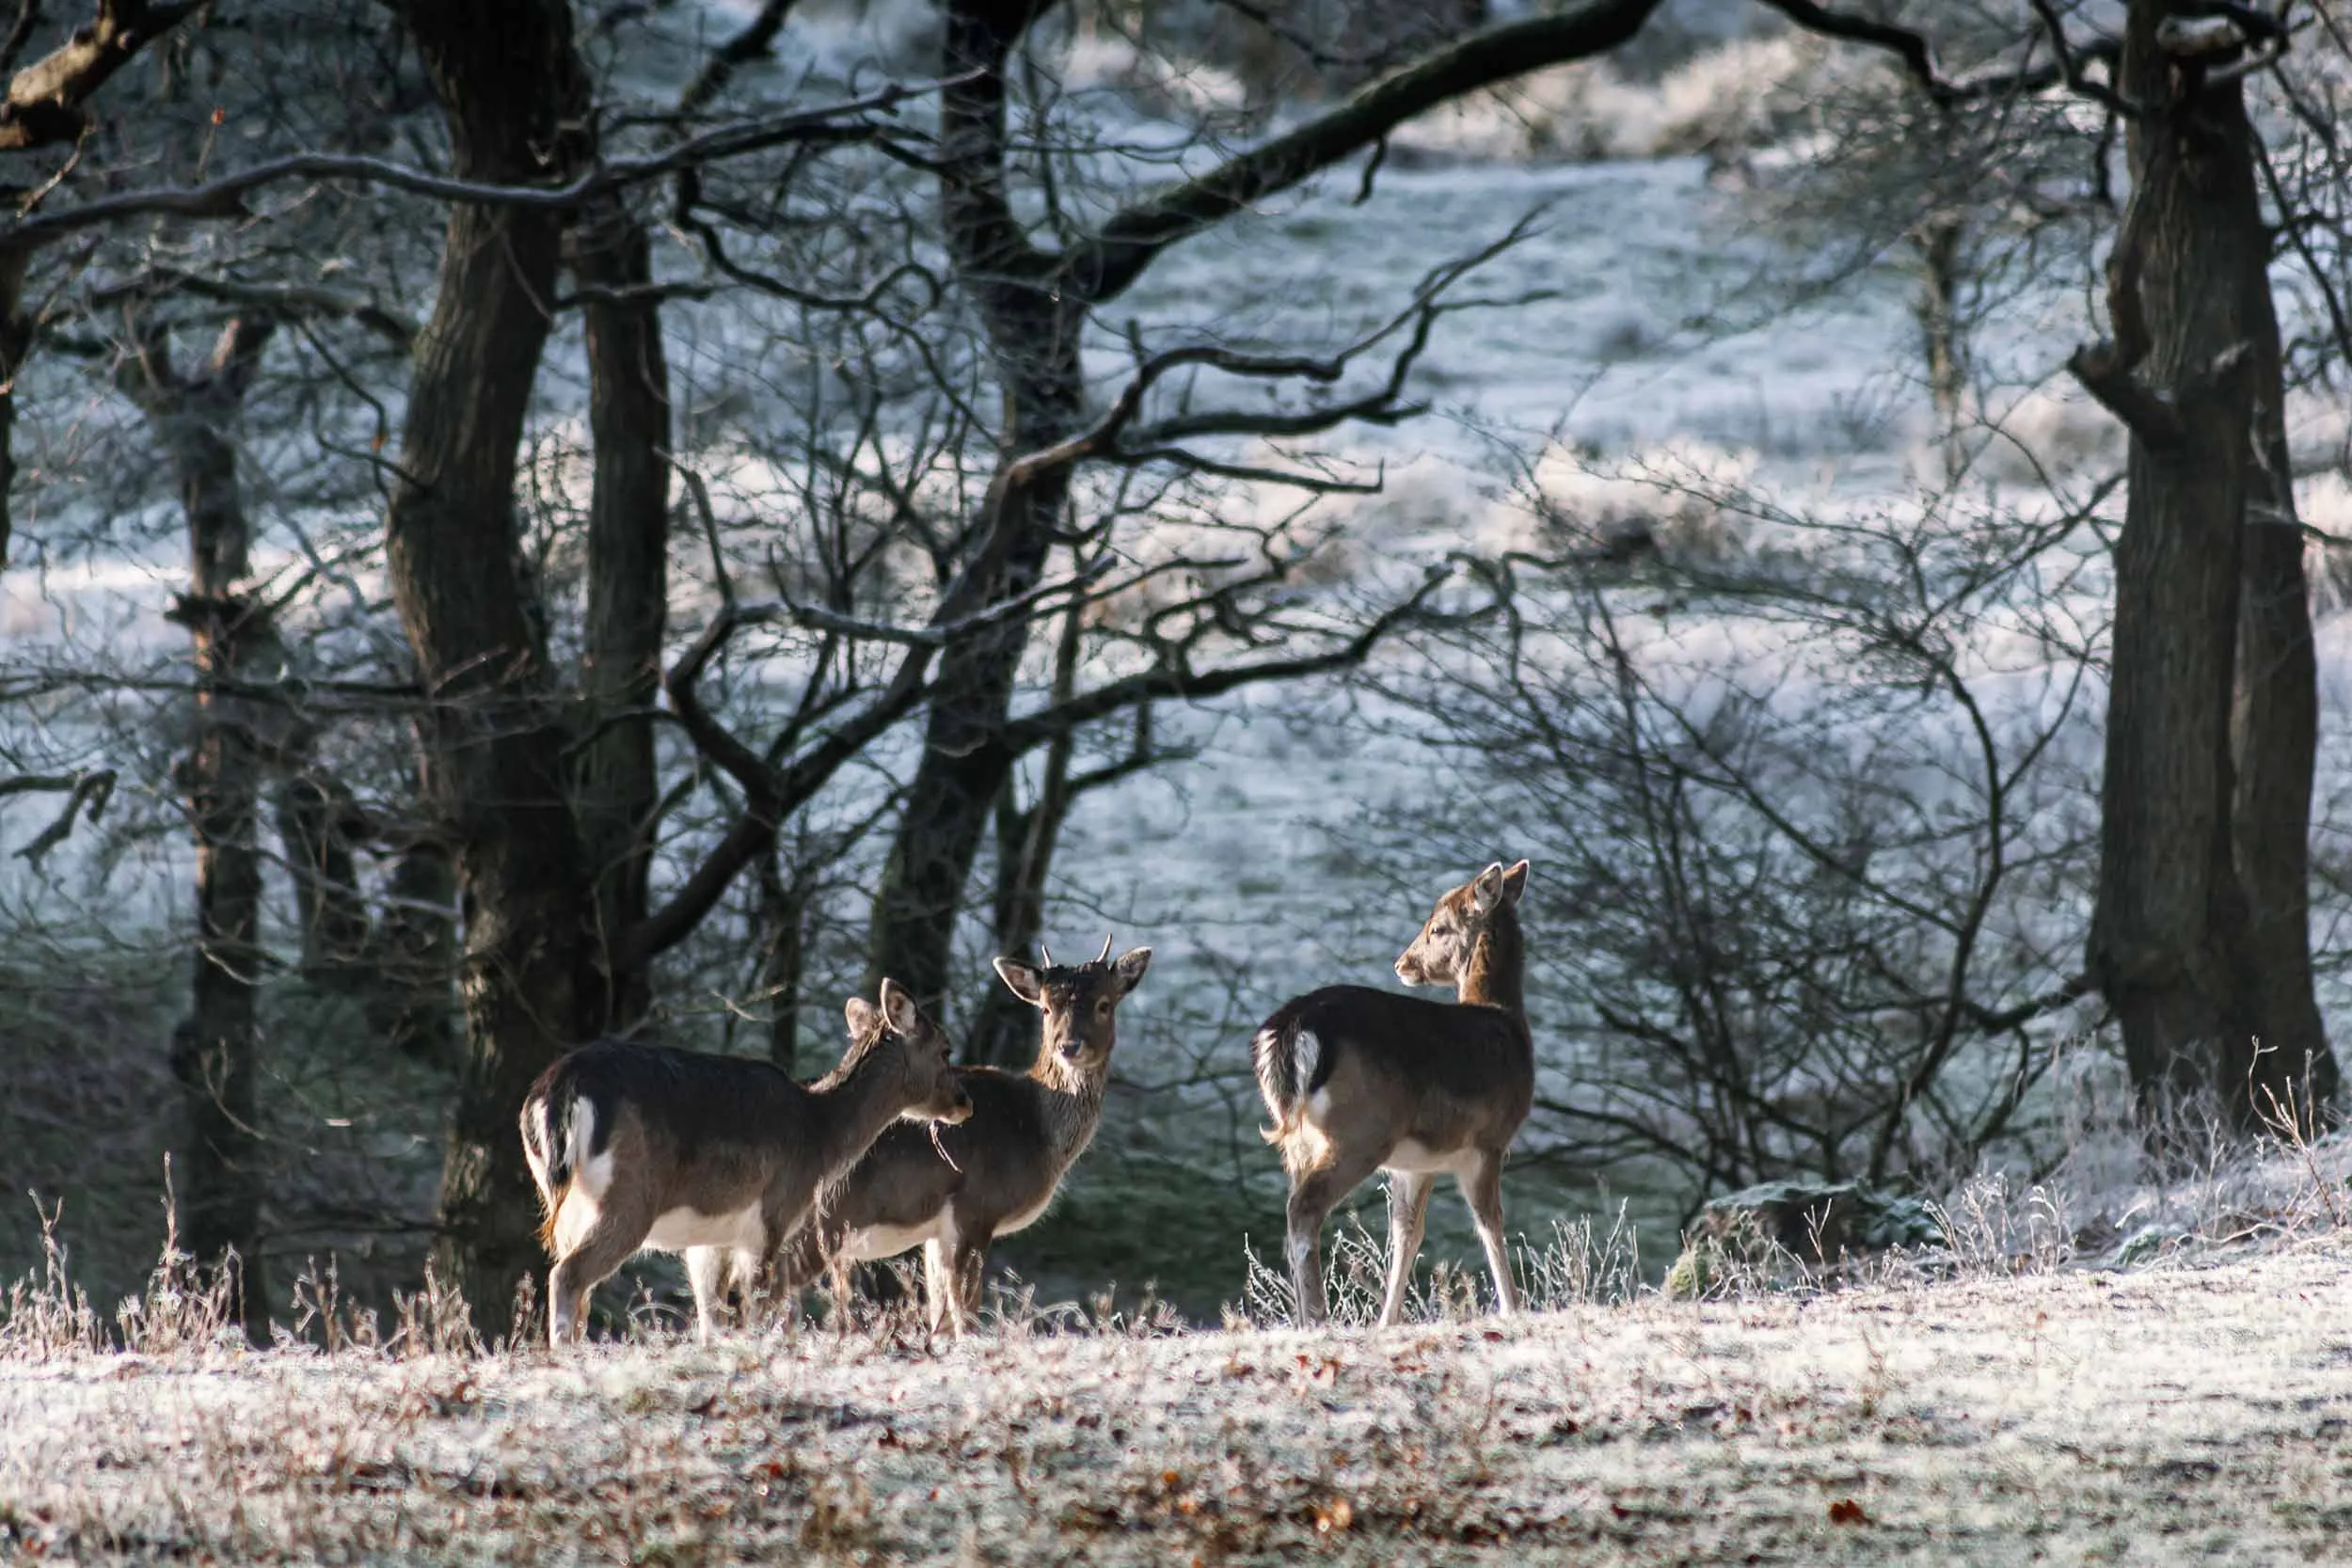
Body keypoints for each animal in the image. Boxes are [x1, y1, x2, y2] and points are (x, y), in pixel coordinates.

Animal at [519, 978, 974, 1345]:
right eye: (946, 1049)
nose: (964, 1102)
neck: (819, 1135)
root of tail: (555, 1093)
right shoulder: (771, 1215)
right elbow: (753, 1308)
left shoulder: (711, 1236)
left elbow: (711, 1316)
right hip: (626, 1196)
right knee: (568, 1276)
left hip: (560, 1198)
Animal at [782, 937, 1152, 1337]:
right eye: (1046, 1008)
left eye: (1104, 1004)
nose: (1069, 1046)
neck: (1033, 1129)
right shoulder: (977, 1206)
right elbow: (967, 1314)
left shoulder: (937, 1233)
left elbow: (940, 1313)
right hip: (815, 1226)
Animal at [1254, 860, 1533, 1328]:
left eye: (1437, 928)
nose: (1403, 963)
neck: (1507, 1021)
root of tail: (1290, 1029)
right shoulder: (1487, 1142)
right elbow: (1489, 1223)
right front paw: (1514, 1308)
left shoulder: (1415, 1164)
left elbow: (1406, 1233)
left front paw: (1388, 1319)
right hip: (1360, 1130)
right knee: (1305, 1207)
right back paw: (1319, 1318)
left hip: (1298, 1139)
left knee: (1294, 1207)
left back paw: (1302, 1316)